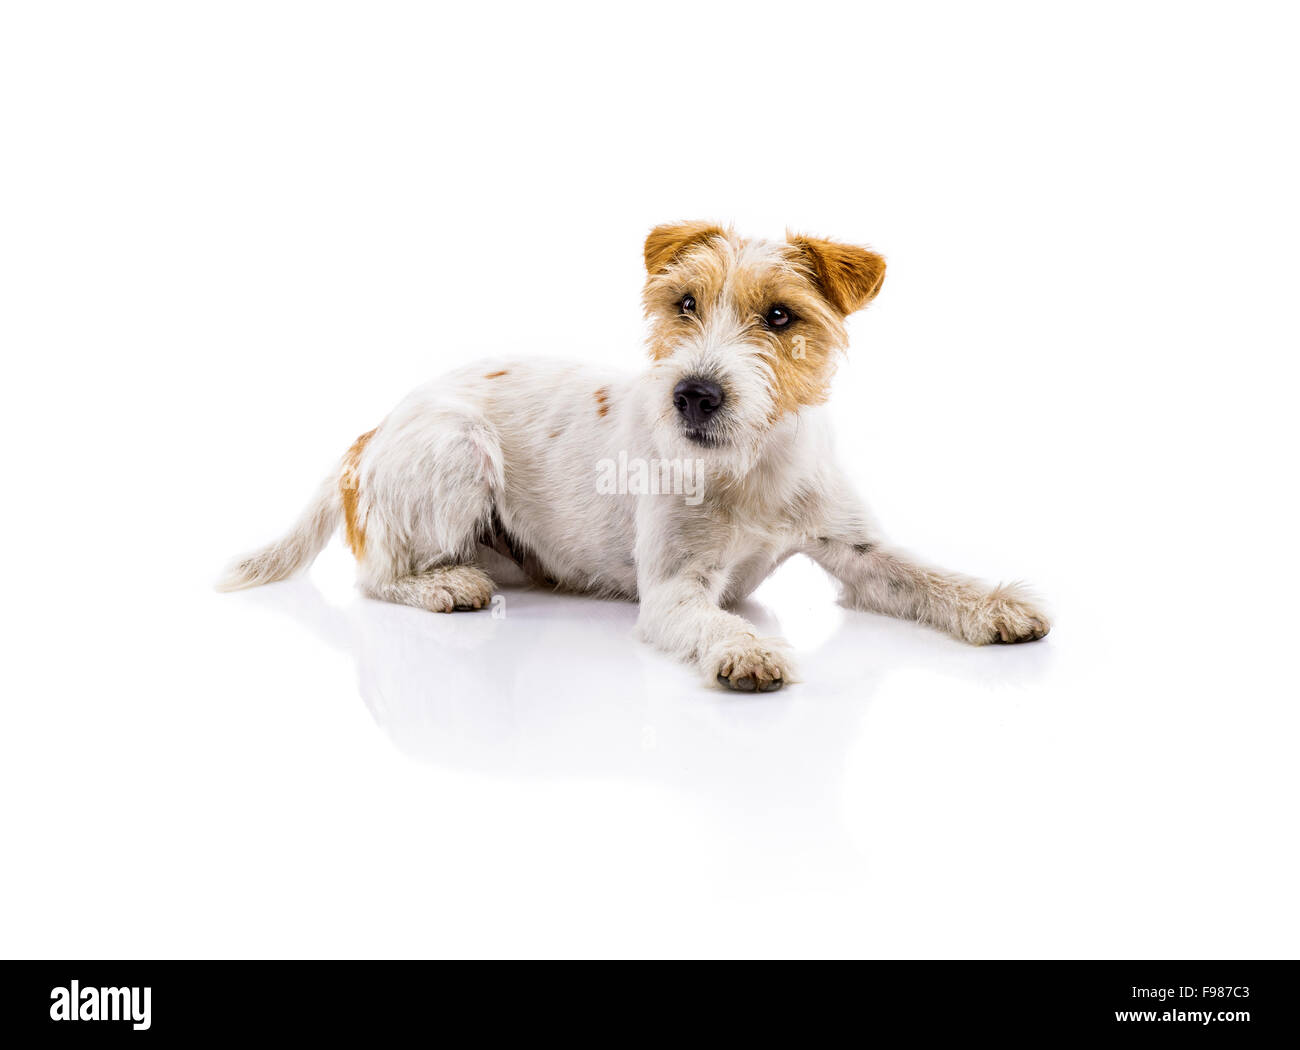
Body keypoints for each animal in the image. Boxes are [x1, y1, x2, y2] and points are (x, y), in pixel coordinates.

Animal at [220, 220, 1045, 691]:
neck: (750, 467)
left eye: (781, 316)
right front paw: (748, 650)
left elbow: (927, 575)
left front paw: (999, 604)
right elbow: (717, 621)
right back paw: (445, 586)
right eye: (684, 303)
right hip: (458, 446)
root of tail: (372, 431)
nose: (694, 394)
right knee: (376, 576)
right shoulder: (676, 590)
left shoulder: (859, 551)